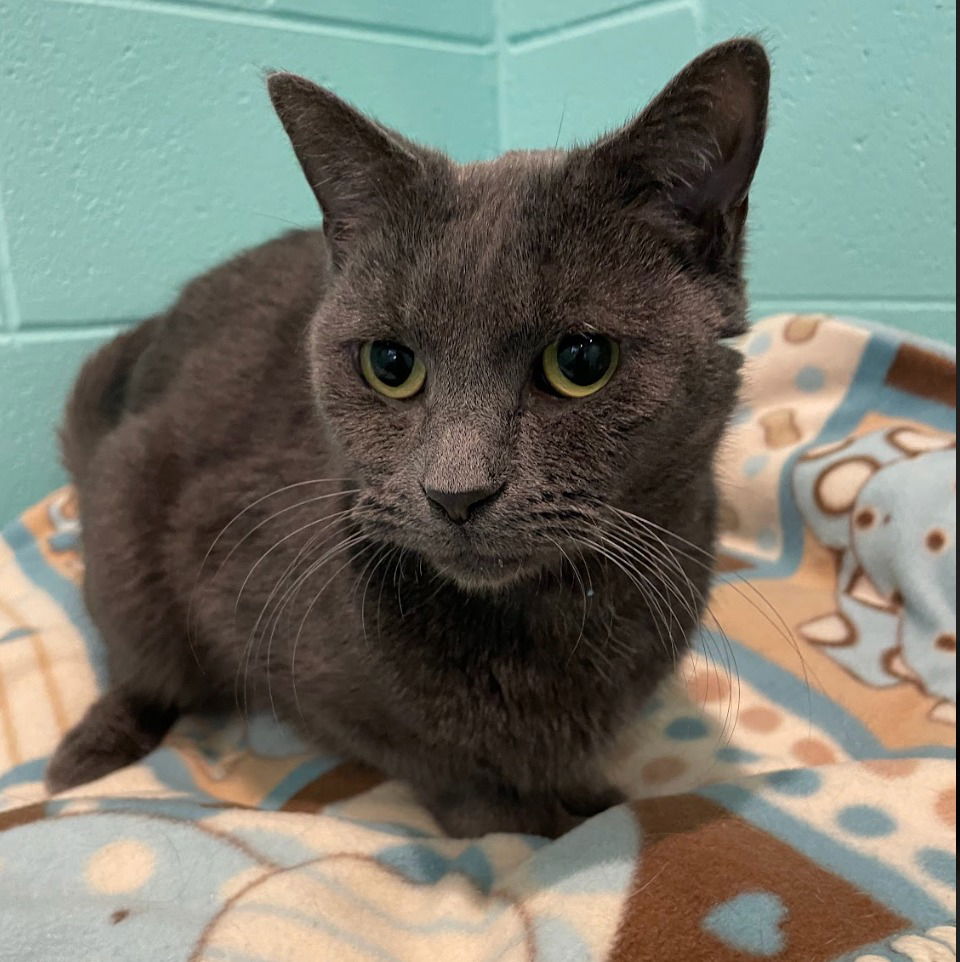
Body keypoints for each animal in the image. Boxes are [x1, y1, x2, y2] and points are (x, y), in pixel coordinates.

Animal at [47, 39, 772, 832]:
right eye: (390, 364)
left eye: (581, 361)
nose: (457, 492)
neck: (538, 621)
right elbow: (432, 758)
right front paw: (514, 818)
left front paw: (584, 799)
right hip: (126, 497)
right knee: (142, 664)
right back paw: (81, 757)